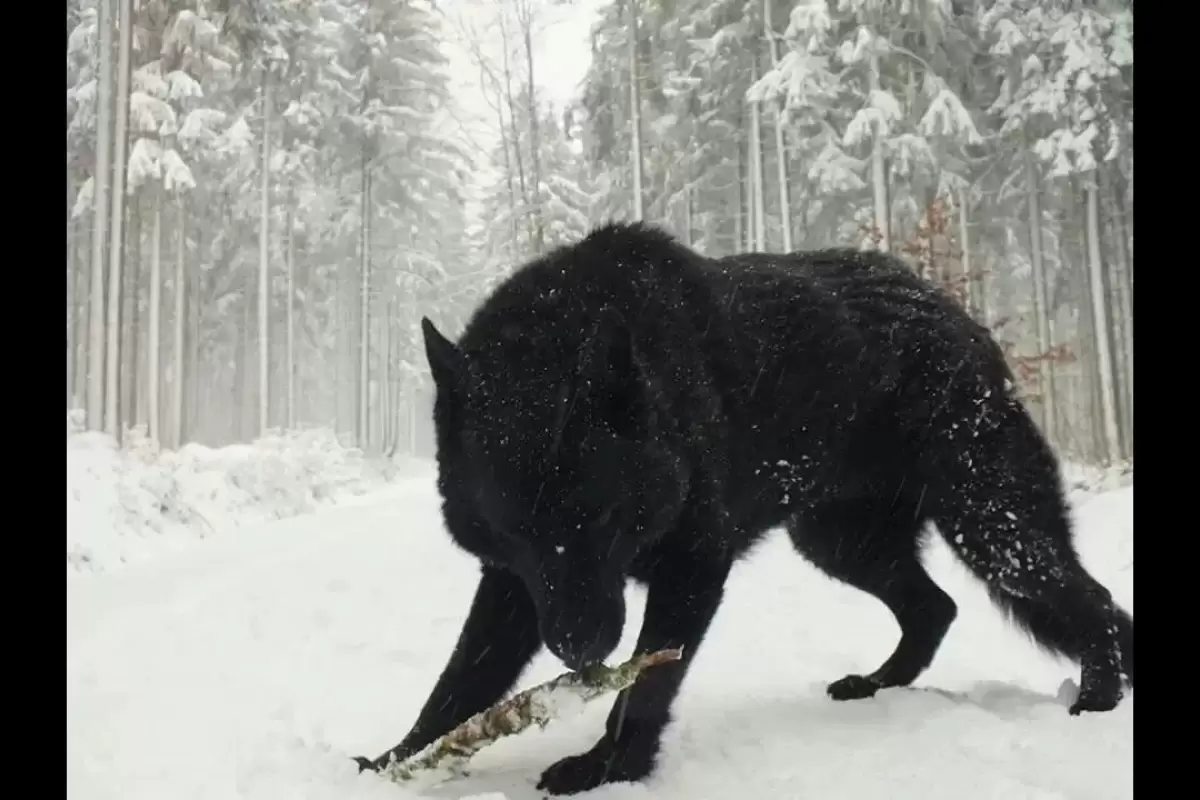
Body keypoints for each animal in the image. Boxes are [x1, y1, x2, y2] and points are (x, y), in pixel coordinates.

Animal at [355, 220, 1132, 796]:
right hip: (840, 543)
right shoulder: (517, 586)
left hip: (995, 532)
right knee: (934, 608)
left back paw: (1097, 700)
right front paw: (395, 761)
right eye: (515, 531)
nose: (578, 649)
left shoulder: (691, 570)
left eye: (601, 519)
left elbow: (644, 688)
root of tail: (954, 312)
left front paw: (608, 769)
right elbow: (460, 681)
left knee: (1093, 604)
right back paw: (877, 685)